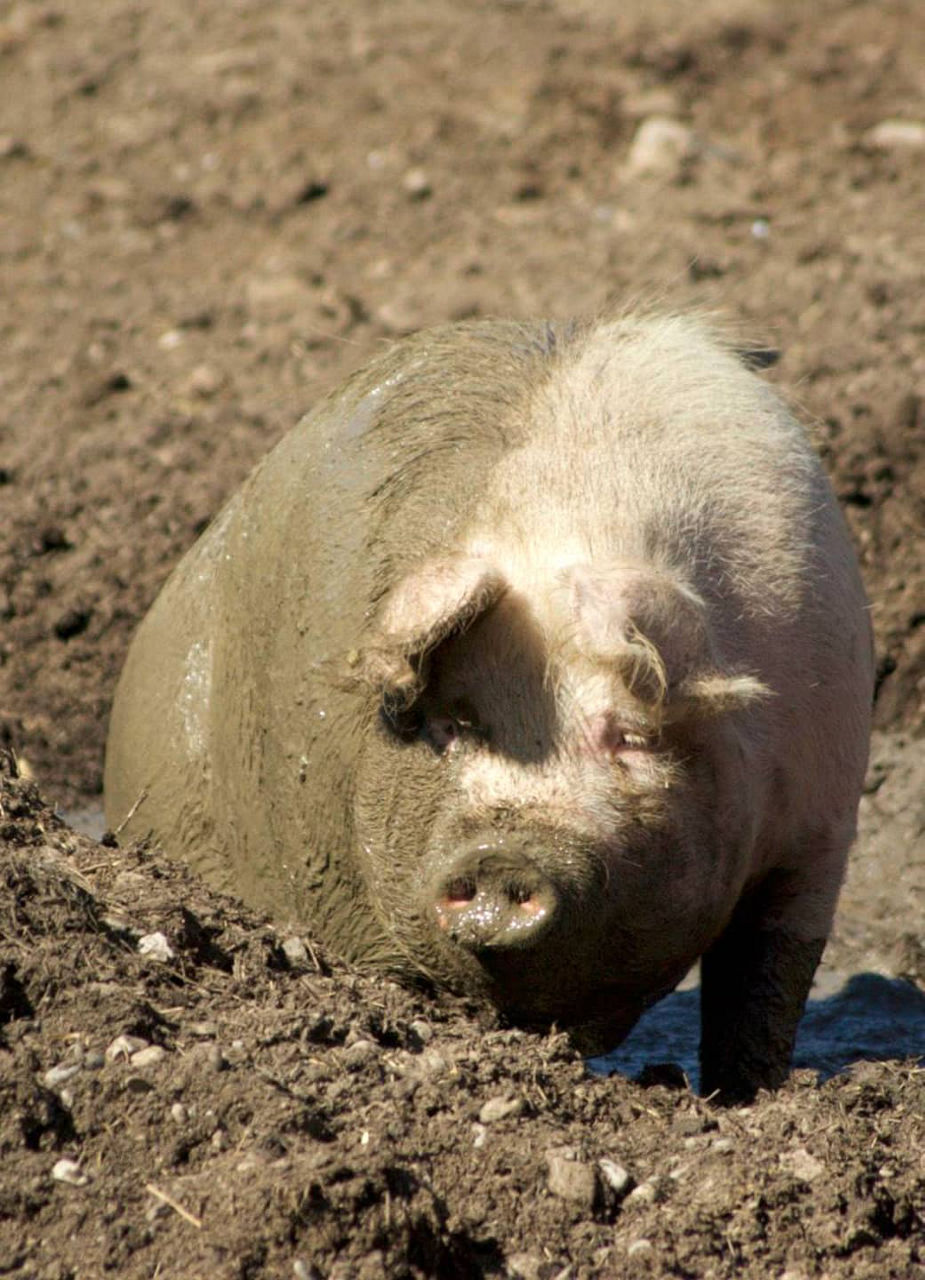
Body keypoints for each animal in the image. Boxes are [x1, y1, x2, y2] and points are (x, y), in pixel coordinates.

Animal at [106, 312, 875, 1100]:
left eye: (628, 736)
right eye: (452, 723)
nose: (507, 856)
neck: (565, 521)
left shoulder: (820, 826)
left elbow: (765, 984)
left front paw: (750, 1099)